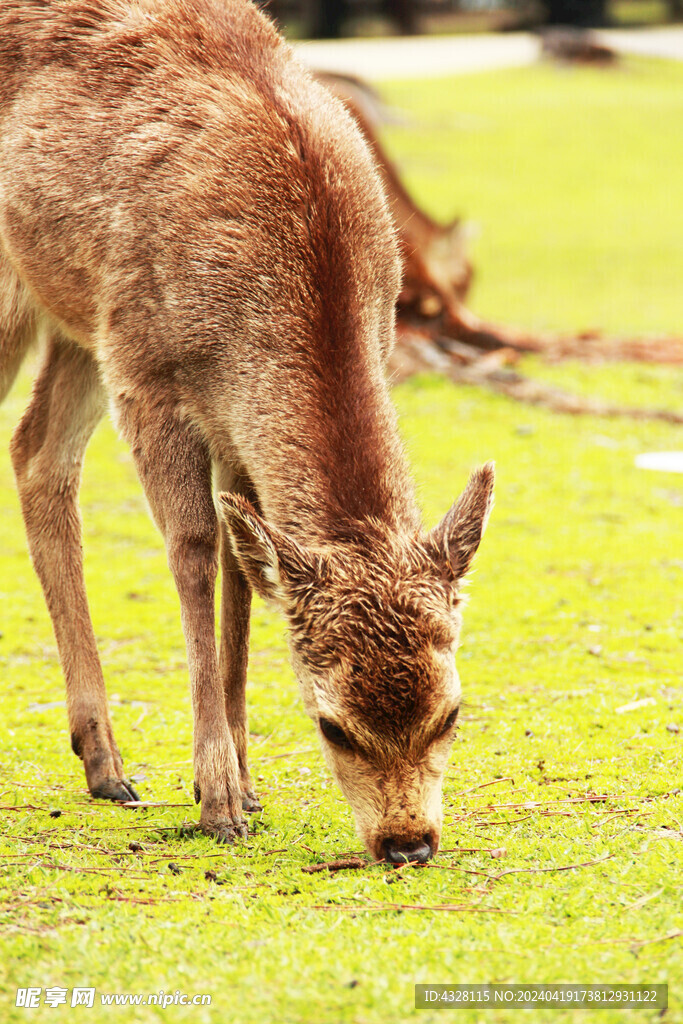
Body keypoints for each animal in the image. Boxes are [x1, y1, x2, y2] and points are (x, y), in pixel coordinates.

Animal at [0, 0, 491, 864]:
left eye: (450, 712)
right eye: (332, 725)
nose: (406, 842)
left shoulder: (229, 417)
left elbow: (242, 567)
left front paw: (248, 781)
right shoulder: (148, 374)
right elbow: (195, 551)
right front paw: (218, 797)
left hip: (75, 314)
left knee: (36, 451)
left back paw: (105, 764)